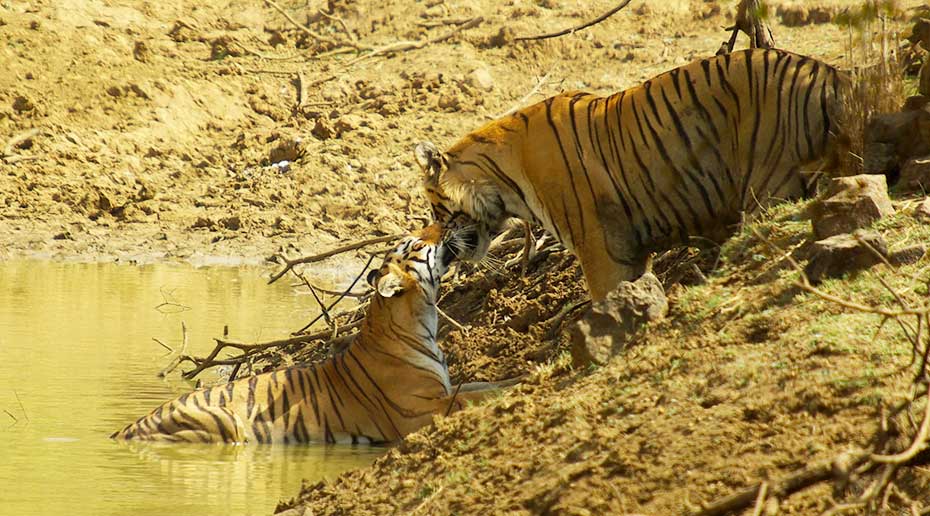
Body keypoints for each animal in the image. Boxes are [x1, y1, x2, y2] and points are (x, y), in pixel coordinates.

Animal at [110, 224, 516, 446]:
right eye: (415, 245)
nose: (441, 224)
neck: (421, 319)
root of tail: (124, 430)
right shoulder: (420, 409)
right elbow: (474, 398)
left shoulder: (447, 388)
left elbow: (487, 383)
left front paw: (521, 377)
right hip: (226, 423)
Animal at [416, 47, 852, 302]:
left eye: (436, 209)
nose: (432, 241)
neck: (502, 178)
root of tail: (831, 74)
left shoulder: (600, 248)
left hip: (771, 183)